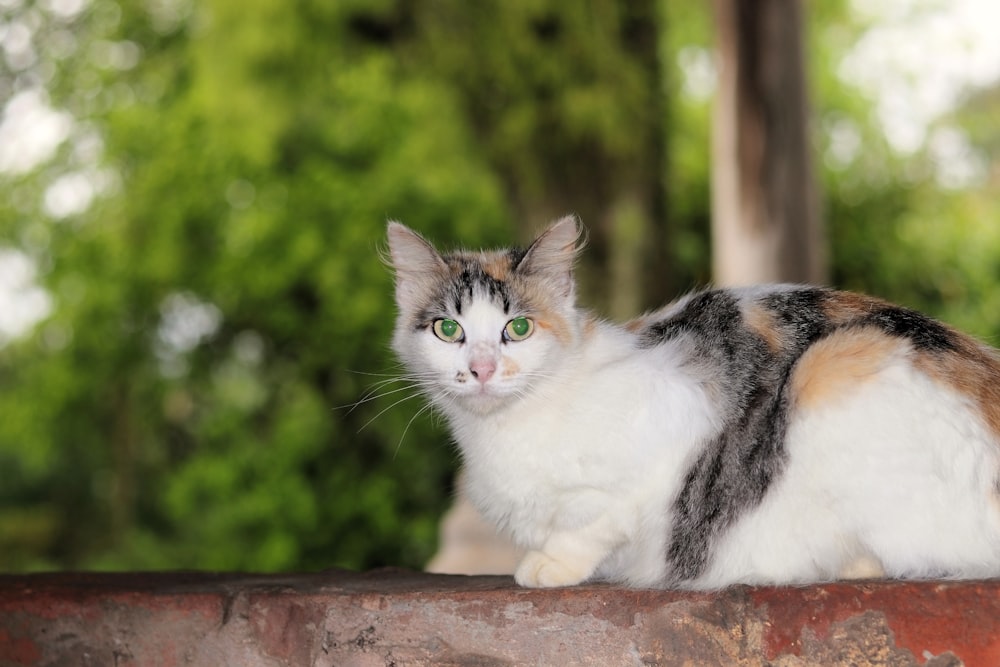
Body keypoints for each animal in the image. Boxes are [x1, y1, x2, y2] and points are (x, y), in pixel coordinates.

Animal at [386, 215, 1000, 588]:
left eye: (517, 328)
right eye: (448, 330)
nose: (482, 369)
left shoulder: (670, 427)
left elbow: (593, 520)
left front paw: (552, 564)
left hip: (835, 367)